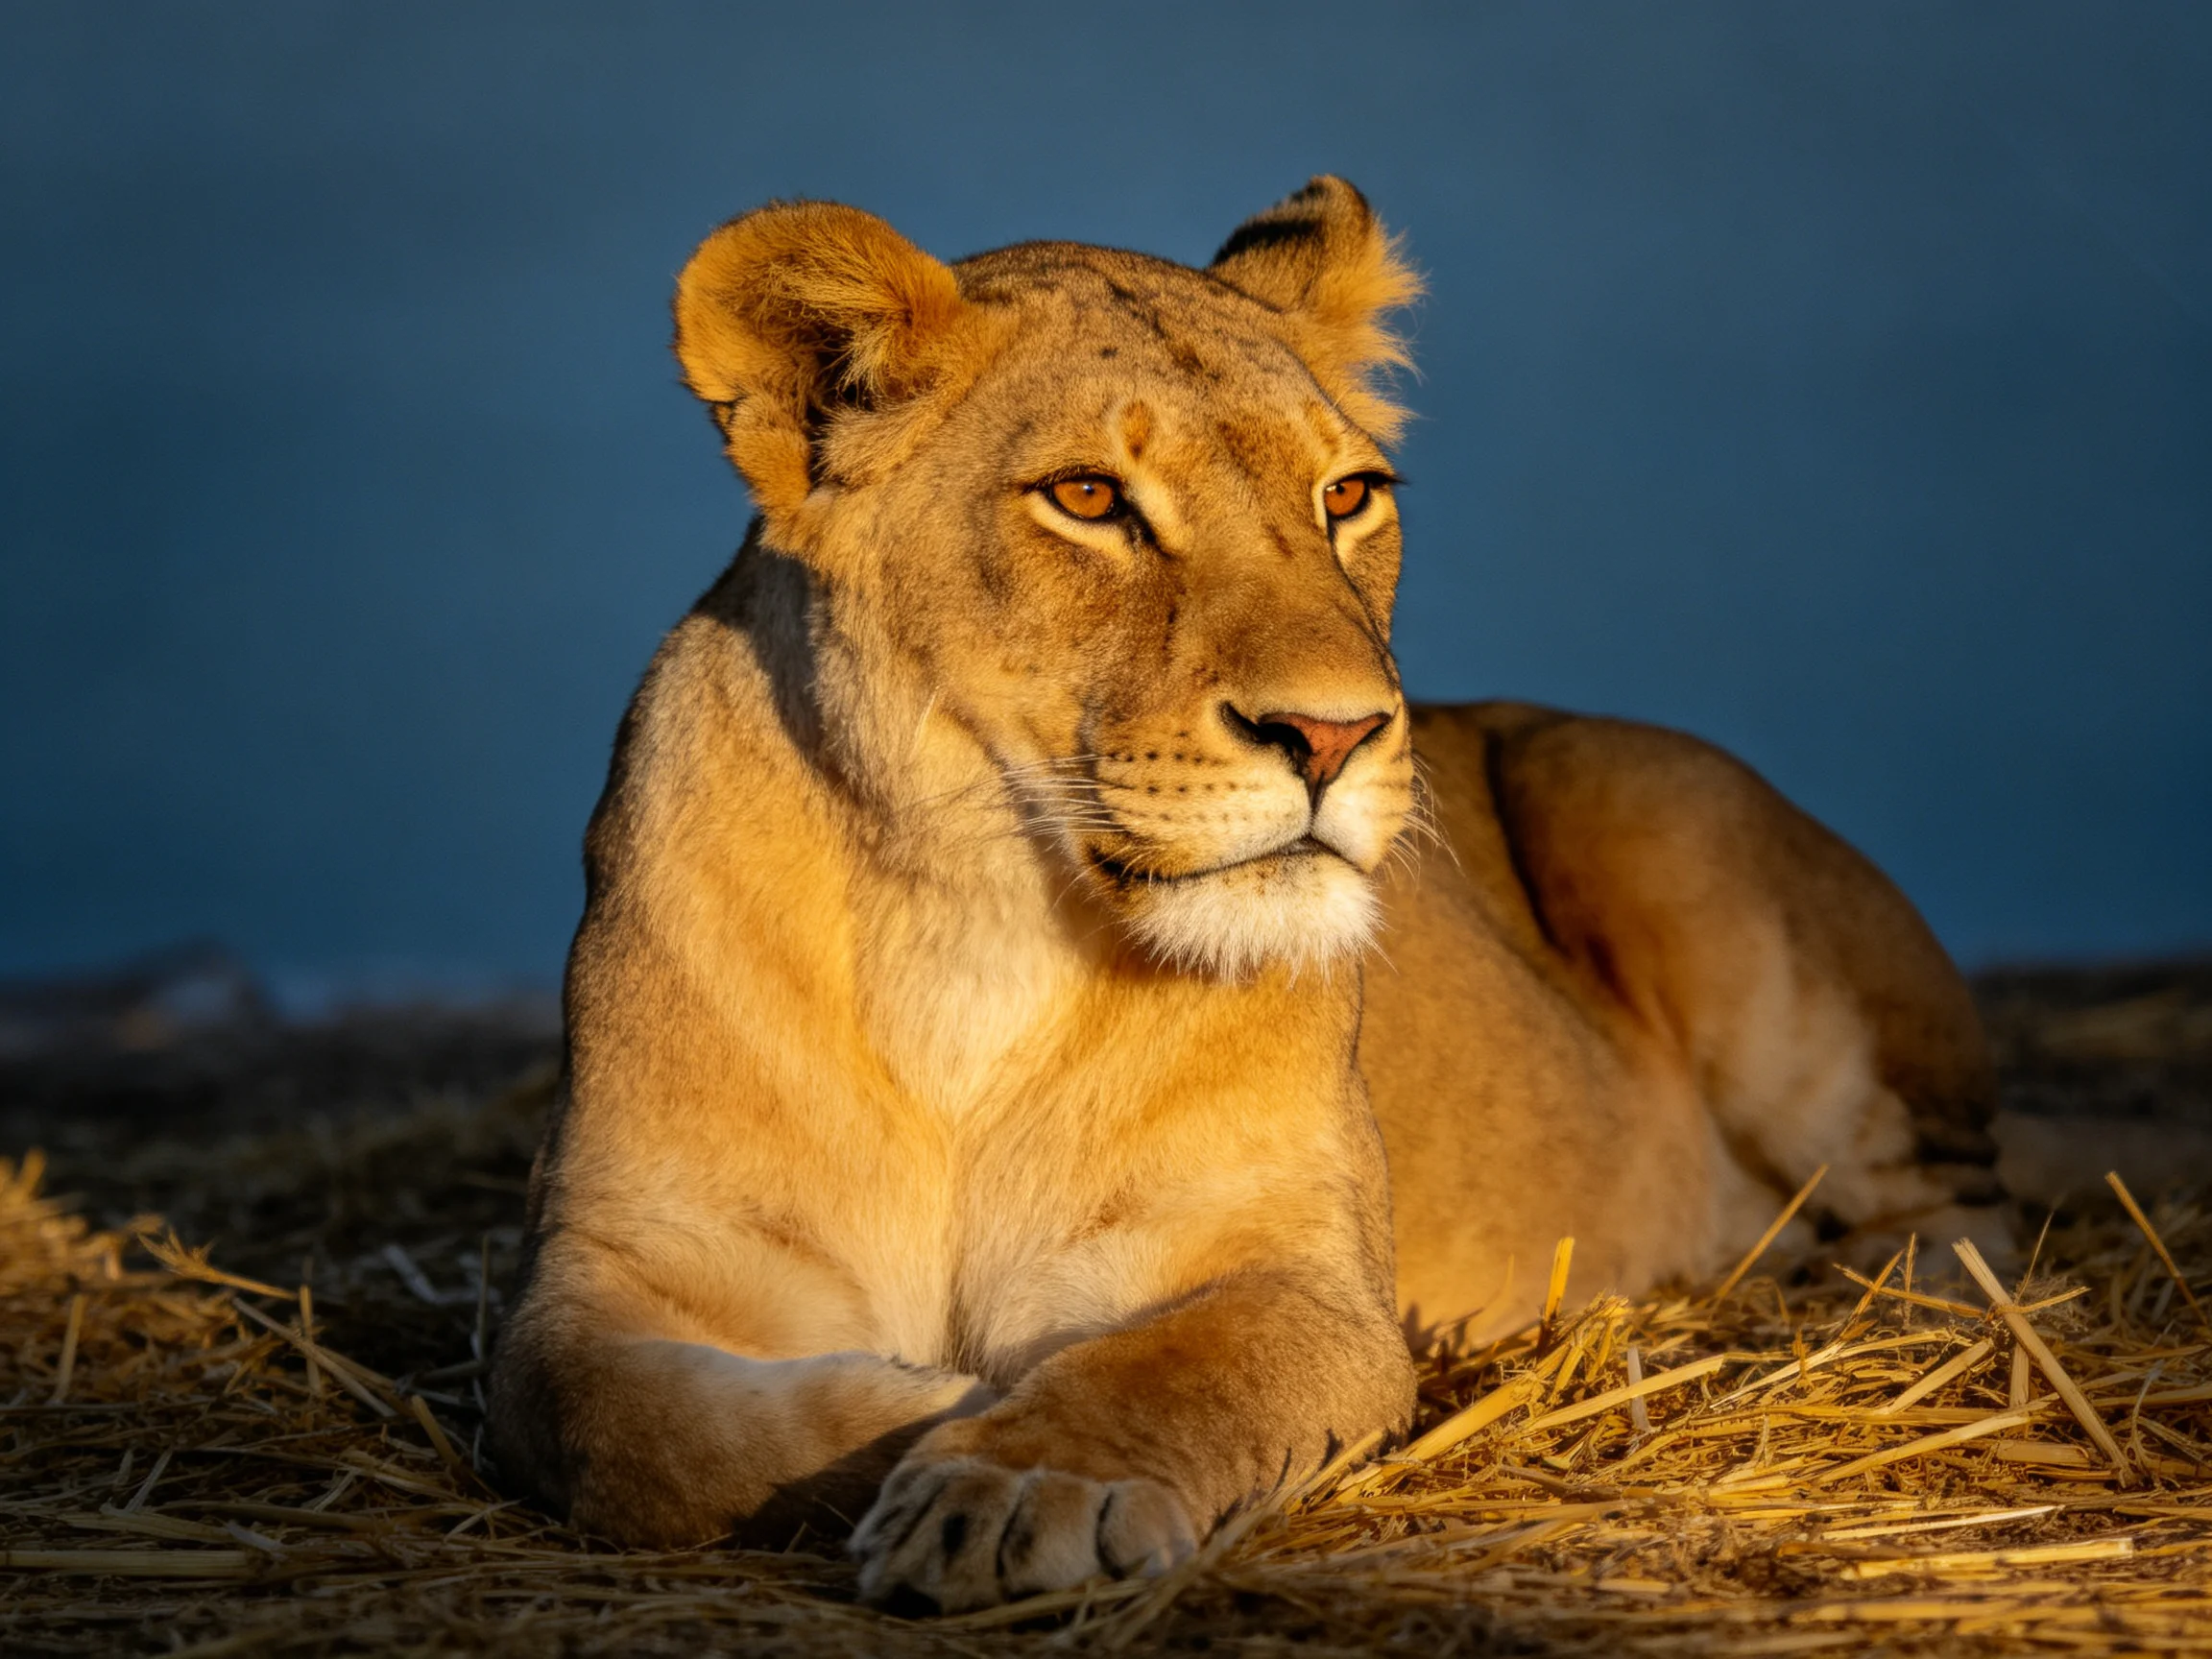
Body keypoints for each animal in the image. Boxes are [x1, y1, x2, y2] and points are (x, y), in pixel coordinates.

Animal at [487, 177, 2003, 1611]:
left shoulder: (1304, 1280)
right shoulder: (610, 1270)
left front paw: (1010, 1481)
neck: (966, 928)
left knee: (1960, 1228)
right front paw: (931, 1410)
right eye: (1088, 499)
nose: (1335, 734)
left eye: (1348, 496)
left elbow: (1170, 1371)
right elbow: (613, 1431)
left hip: (1662, 815)